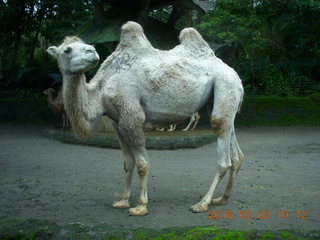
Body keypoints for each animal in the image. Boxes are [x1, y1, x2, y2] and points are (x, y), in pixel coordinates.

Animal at [47, 21, 244, 216]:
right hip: (226, 100)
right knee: (235, 151)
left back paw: (203, 203)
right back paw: (222, 198)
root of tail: (236, 76)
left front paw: (141, 206)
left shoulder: (131, 116)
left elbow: (142, 164)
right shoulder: (117, 122)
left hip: (224, 85)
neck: (102, 89)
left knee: (223, 154)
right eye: (67, 50)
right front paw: (123, 201)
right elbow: (127, 163)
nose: (92, 51)